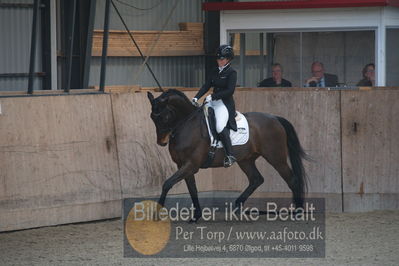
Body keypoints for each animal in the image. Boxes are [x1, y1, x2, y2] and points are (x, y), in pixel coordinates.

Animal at [148, 89, 308, 222]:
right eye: (152, 117)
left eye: (164, 116)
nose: (161, 142)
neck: (187, 125)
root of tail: (275, 118)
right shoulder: (183, 165)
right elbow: (192, 189)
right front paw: (196, 215)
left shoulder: (191, 165)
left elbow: (167, 184)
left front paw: (156, 214)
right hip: (246, 160)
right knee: (256, 179)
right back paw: (237, 206)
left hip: (276, 158)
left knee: (292, 180)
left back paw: (298, 212)